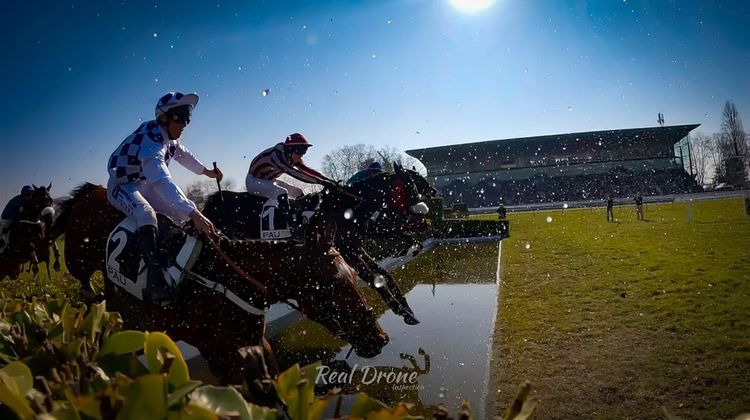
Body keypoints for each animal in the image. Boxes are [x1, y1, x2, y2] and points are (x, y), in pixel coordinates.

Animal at [53, 182, 390, 382]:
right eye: (330, 286)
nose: (380, 338)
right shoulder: (219, 355)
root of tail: (89, 193)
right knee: (86, 286)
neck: (227, 278)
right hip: (79, 260)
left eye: (351, 278)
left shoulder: (253, 342)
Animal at [204, 162, 440, 324]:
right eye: (413, 182)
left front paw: (407, 308)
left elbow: (384, 274)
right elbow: (375, 279)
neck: (346, 206)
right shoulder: (350, 251)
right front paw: (402, 311)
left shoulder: (357, 247)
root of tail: (216, 201)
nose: (434, 192)